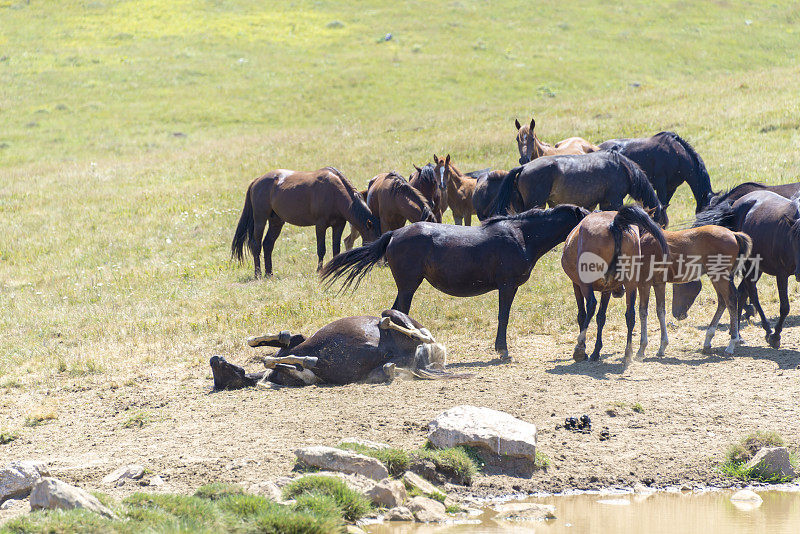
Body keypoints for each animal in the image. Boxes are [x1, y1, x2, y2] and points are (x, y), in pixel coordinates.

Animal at [206, 310, 460, 390]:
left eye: (224, 369)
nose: (215, 358)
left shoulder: (295, 343)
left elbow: (279, 341)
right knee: (390, 367)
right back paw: (389, 365)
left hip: (396, 315)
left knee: (420, 333)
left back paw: (388, 325)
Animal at [231, 168, 382, 278]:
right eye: (375, 239)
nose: (380, 261)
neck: (335, 193)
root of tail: (257, 181)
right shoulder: (320, 225)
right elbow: (321, 249)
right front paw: (319, 270)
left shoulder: (339, 225)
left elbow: (336, 249)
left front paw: (334, 269)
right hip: (260, 219)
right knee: (256, 244)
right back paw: (258, 274)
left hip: (276, 222)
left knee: (268, 244)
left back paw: (269, 273)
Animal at [322, 204, 592, 360]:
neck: (522, 236)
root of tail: (394, 234)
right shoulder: (507, 285)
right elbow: (503, 316)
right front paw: (502, 350)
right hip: (408, 285)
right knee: (399, 311)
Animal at [564, 206, 668, 368]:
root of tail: (614, 224)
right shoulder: (607, 289)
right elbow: (601, 317)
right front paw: (596, 351)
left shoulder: (577, 285)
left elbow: (582, 314)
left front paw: (586, 350)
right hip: (630, 284)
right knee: (630, 314)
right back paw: (628, 353)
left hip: (585, 283)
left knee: (591, 305)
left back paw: (579, 348)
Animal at [676, 193, 800, 352]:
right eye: (793, 240)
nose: (677, 314)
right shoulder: (781, 274)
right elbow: (784, 307)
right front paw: (775, 336)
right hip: (750, 266)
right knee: (750, 293)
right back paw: (759, 331)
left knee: (741, 293)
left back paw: (738, 334)